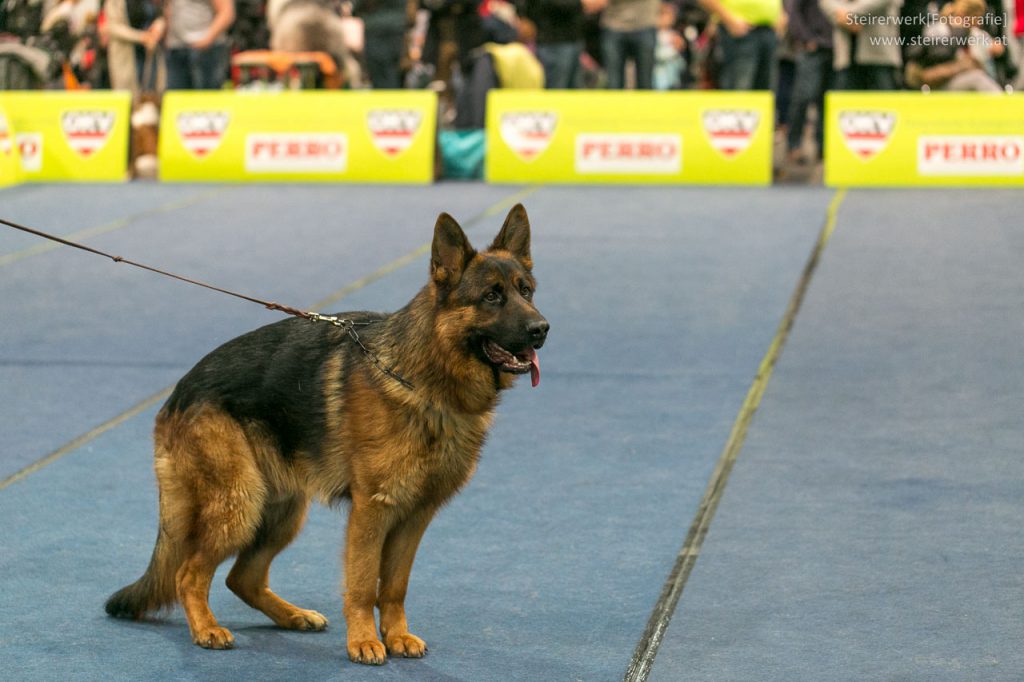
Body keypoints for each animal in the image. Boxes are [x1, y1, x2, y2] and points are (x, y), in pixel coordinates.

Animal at [107, 204, 548, 659]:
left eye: (527, 291)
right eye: (491, 296)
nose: (542, 329)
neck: (424, 378)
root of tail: (177, 393)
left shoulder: (415, 516)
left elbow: (394, 586)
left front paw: (397, 635)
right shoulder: (372, 510)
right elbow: (362, 584)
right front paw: (365, 641)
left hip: (281, 511)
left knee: (241, 578)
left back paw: (292, 616)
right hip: (241, 504)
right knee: (189, 573)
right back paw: (207, 629)